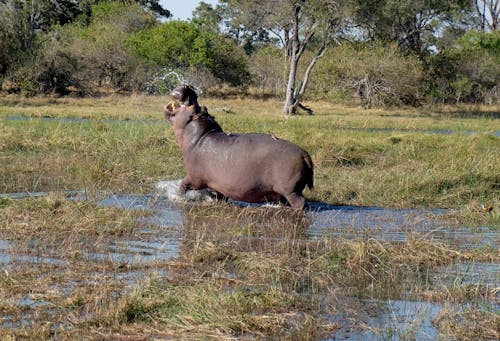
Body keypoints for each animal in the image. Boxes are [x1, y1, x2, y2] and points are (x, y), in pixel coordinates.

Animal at [164, 83, 312, 209]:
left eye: (194, 107)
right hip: (286, 191)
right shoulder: (218, 183)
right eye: (204, 107)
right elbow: (220, 195)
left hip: (290, 190)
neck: (200, 135)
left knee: (300, 203)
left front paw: (178, 197)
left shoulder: (195, 178)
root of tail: (304, 154)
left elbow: (183, 185)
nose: (188, 87)